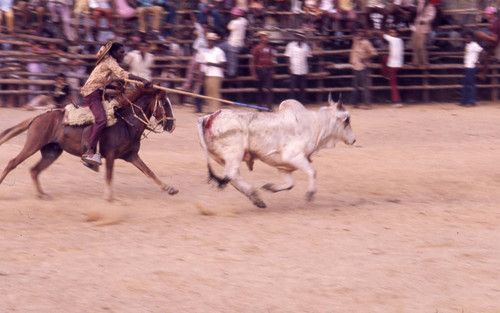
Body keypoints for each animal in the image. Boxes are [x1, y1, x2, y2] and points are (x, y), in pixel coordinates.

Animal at [0, 84, 179, 199]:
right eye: (165, 103)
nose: (171, 126)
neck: (126, 124)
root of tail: (37, 117)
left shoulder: (132, 156)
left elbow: (149, 171)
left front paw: (169, 188)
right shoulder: (111, 155)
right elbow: (109, 175)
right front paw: (109, 197)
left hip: (51, 152)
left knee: (34, 170)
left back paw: (42, 194)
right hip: (33, 144)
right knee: (13, 162)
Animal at [195, 95, 356, 207]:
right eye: (347, 120)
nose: (353, 140)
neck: (315, 125)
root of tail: (208, 117)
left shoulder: (284, 166)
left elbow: (290, 184)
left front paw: (270, 187)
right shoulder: (294, 157)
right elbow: (312, 172)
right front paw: (310, 194)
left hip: (223, 158)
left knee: (231, 177)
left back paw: (256, 198)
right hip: (234, 154)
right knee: (232, 174)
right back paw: (254, 195)